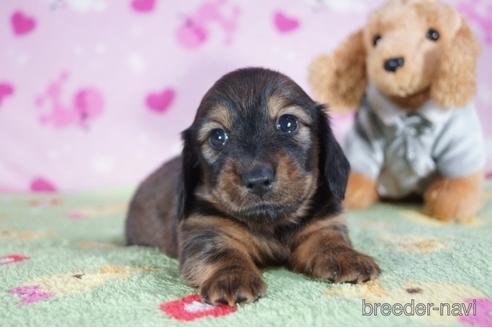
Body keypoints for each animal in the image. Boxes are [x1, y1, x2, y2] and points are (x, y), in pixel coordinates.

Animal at [127, 68, 380, 306]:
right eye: (218, 136)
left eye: (288, 123)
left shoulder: (323, 223)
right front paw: (232, 277)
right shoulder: (206, 230)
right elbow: (223, 254)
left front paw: (346, 256)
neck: (271, 223)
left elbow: (328, 239)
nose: (257, 179)